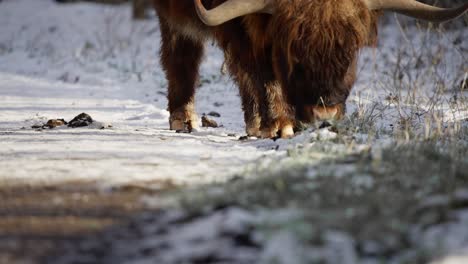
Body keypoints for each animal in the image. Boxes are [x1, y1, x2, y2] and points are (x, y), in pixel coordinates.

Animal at [154, 0, 468, 138]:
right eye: (293, 52)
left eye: (350, 51)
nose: (324, 114)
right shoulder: (243, 32)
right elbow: (263, 73)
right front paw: (281, 125)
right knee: (181, 56)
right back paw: (183, 119)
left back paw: (254, 123)